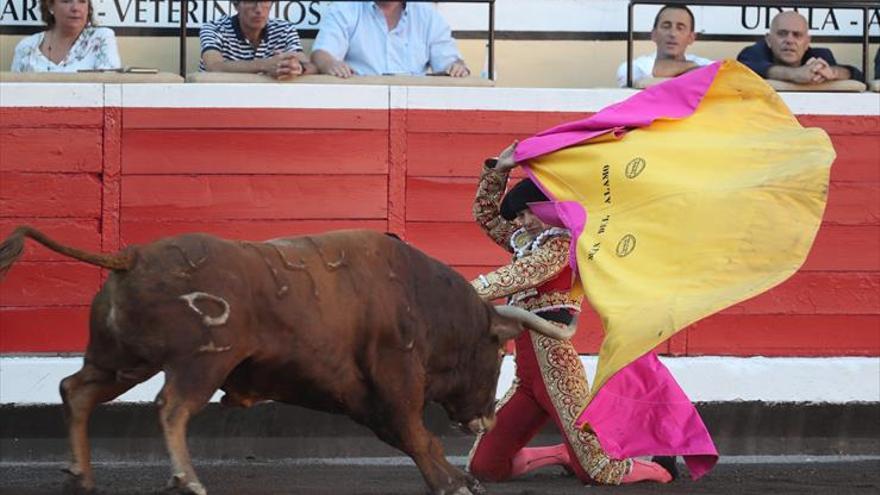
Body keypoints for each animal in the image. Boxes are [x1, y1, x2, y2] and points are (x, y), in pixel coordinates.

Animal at [0, 228, 576, 495]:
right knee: (171, 407)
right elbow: (417, 433)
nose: (487, 420)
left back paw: (81, 475)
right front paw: (454, 481)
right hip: (199, 363)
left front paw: (456, 478)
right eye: (498, 352)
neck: (425, 301)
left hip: (123, 359)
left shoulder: (363, 395)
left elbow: (408, 435)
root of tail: (132, 255)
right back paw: (186, 478)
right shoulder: (395, 377)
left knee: (77, 391)